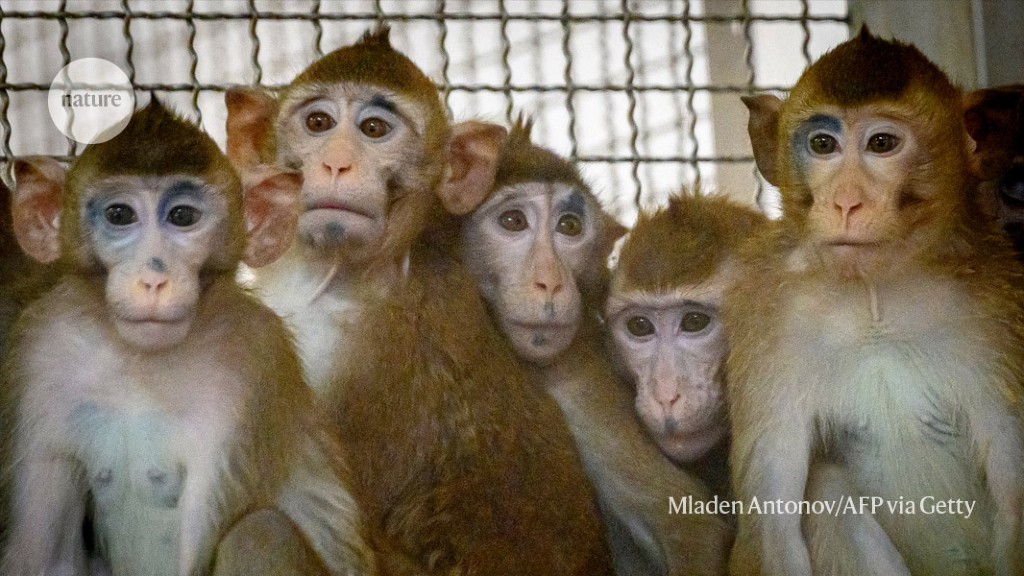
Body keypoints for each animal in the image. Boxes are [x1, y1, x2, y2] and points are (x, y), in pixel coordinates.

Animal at [0, 100, 376, 573]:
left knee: (260, 534)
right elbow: (40, 554)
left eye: (182, 216)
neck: (138, 362)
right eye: (120, 215)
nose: (153, 279)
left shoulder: (248, 361)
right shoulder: (42, 350)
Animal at [223, 24, 610, 569]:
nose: (337, 163)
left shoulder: (378, 351)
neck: (343, 280)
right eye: (318, 122)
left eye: (374, 130)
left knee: (258, 533)